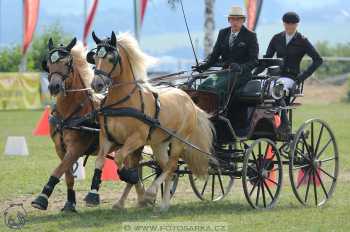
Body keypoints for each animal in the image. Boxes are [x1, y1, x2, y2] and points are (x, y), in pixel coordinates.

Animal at [84, 31, 216, 211]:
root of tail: (189, 100)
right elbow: (100, 161)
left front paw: (132, 180)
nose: (96, 84)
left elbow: (120, 159)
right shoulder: (107, 138)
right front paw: (93, 195)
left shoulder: (137, 139)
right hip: (159, 144)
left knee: (172, 165)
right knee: (168, 168)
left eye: (111, 58)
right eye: (95, 57)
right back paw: (164, 204)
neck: (123, 102)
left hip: (178, 141)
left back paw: (152, 194)